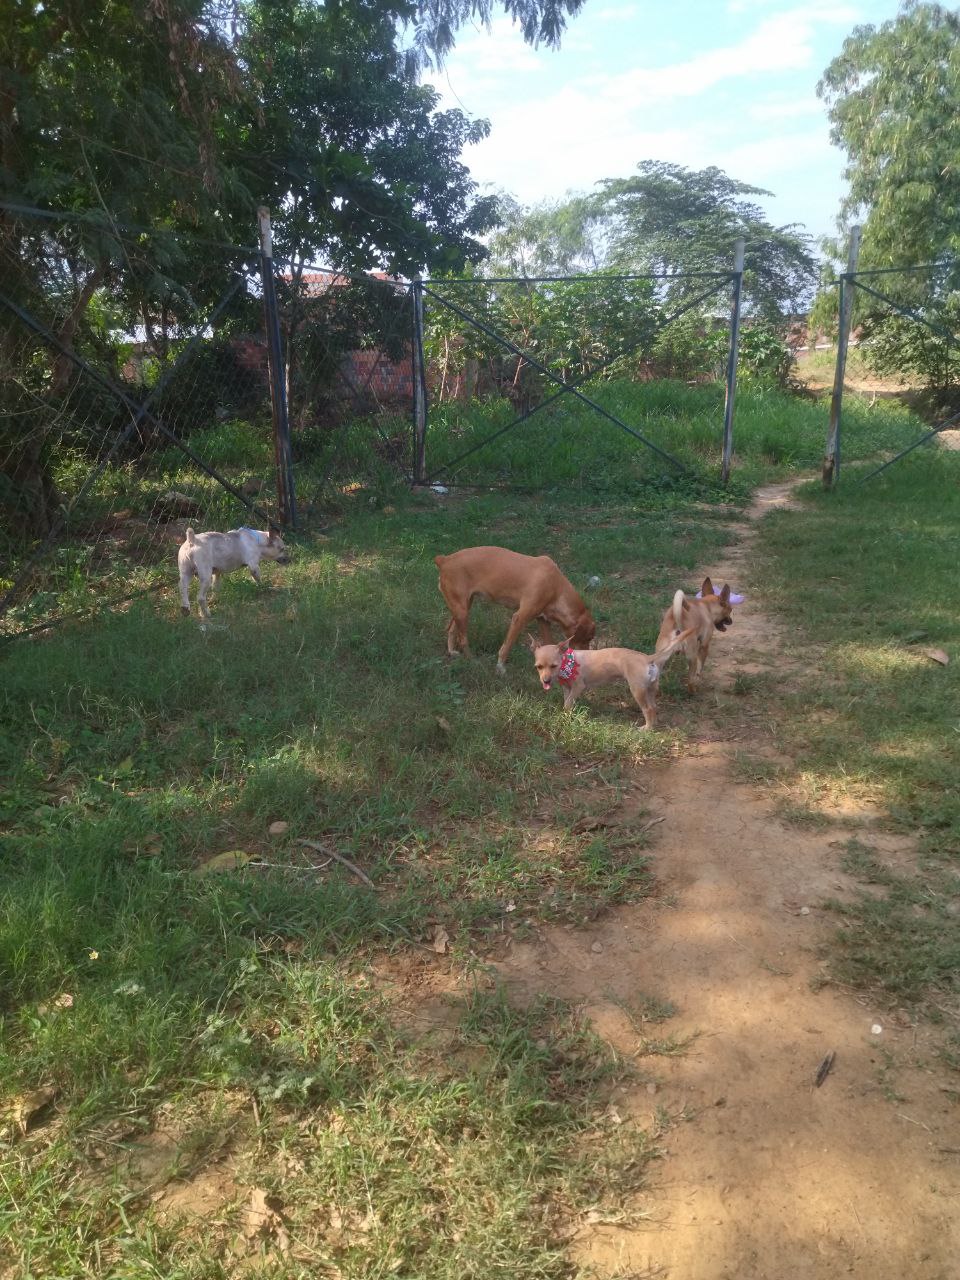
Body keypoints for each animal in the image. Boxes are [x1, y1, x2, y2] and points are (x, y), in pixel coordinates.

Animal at [435, 545, 593, 675]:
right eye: (588, 639)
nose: (588, 655)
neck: (556, 586)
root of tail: (445, 560)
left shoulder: (543, 621)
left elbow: (550, 644)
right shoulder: (519, 618)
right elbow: (507, 646)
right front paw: (500, 668)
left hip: (463, 607)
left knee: (450, 629)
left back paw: (452, 652)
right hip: (462, 611)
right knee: (463, 639)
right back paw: (473, 661)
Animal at [529, 629, 696, 732]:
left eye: (553, 666)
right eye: (538, 667)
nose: (546, 681)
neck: (566, 663)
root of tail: (647, 658)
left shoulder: (578, 687)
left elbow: (568, 703)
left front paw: (566, 717)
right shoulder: (567, 689)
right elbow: (567, 702)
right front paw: (566, 716)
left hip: (637, 690)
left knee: (647, 709)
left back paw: (646, 729)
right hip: (650, 689)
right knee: (653, 707)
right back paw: (653, 724)